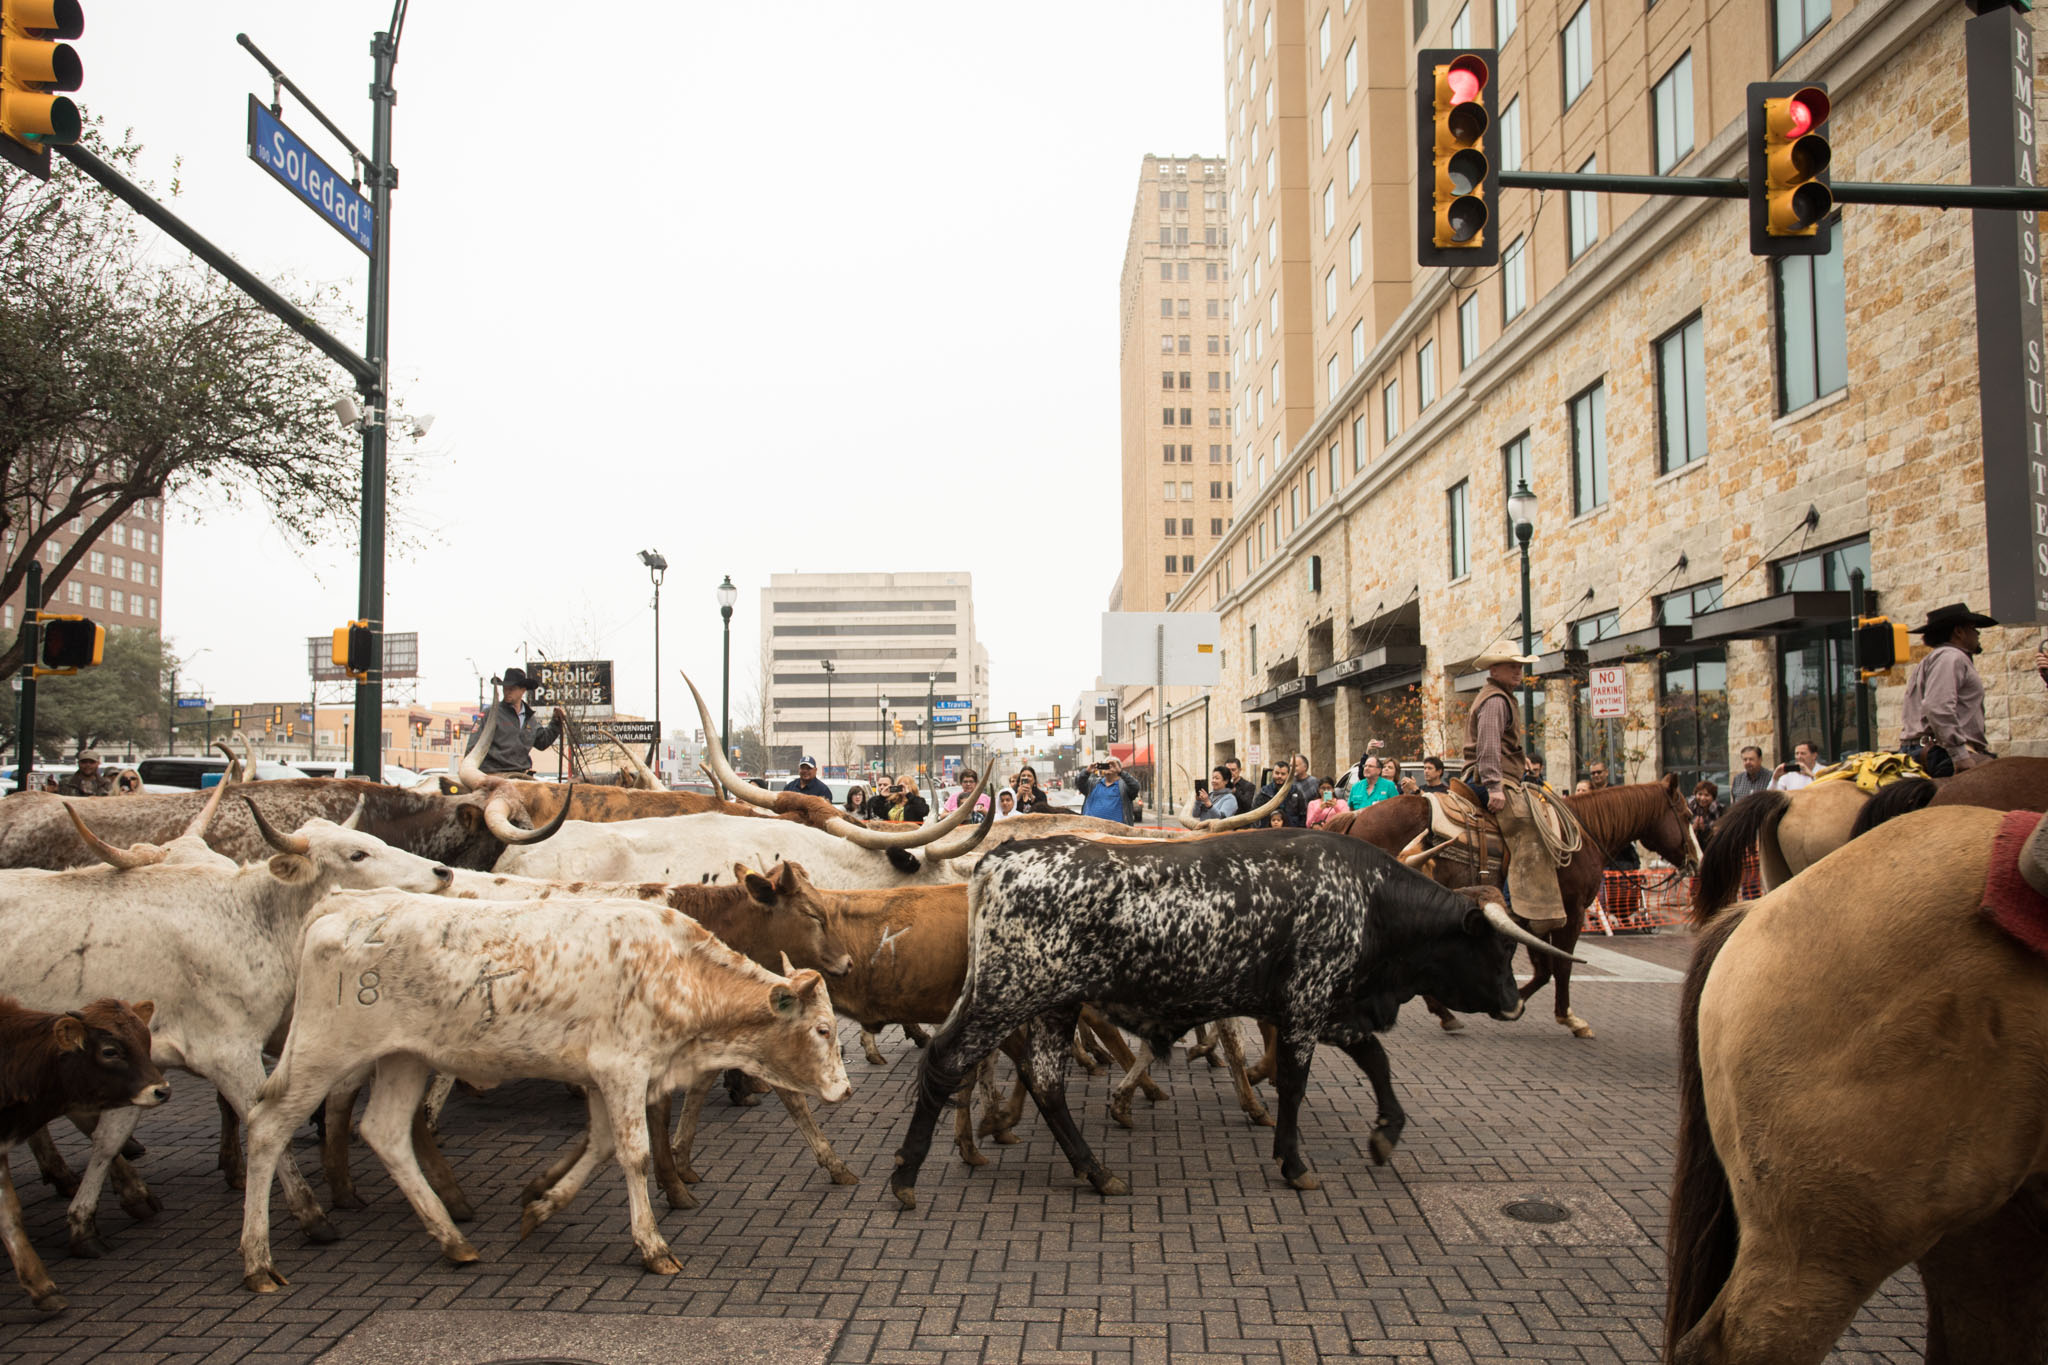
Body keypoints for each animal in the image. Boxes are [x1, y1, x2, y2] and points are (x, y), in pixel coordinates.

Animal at [239, 896, 847, 1293]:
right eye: (822, 1030)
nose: (843, 1088)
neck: (677, 970)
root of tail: (340, 909)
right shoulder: (624, 1070)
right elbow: (633, 1154)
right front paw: (652, 1246)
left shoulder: (605, 1078)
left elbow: (601, 1146)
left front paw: (541, 1205)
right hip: (323, 1051)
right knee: (266, 1126)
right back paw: (260, 1258)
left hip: (404, 1059)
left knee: (385, 1133)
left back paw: (452, 1239)